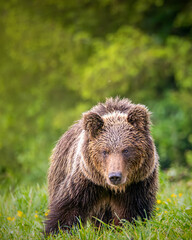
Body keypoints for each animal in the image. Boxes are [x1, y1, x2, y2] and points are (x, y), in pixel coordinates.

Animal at [45, 97, 159, 234]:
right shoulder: (87, 180)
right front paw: (57, 231)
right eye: (105, 151)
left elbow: (133, 213)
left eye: (126, 150)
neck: (113, 188)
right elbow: (68, 208)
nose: (115, 176)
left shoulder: (137, 185)